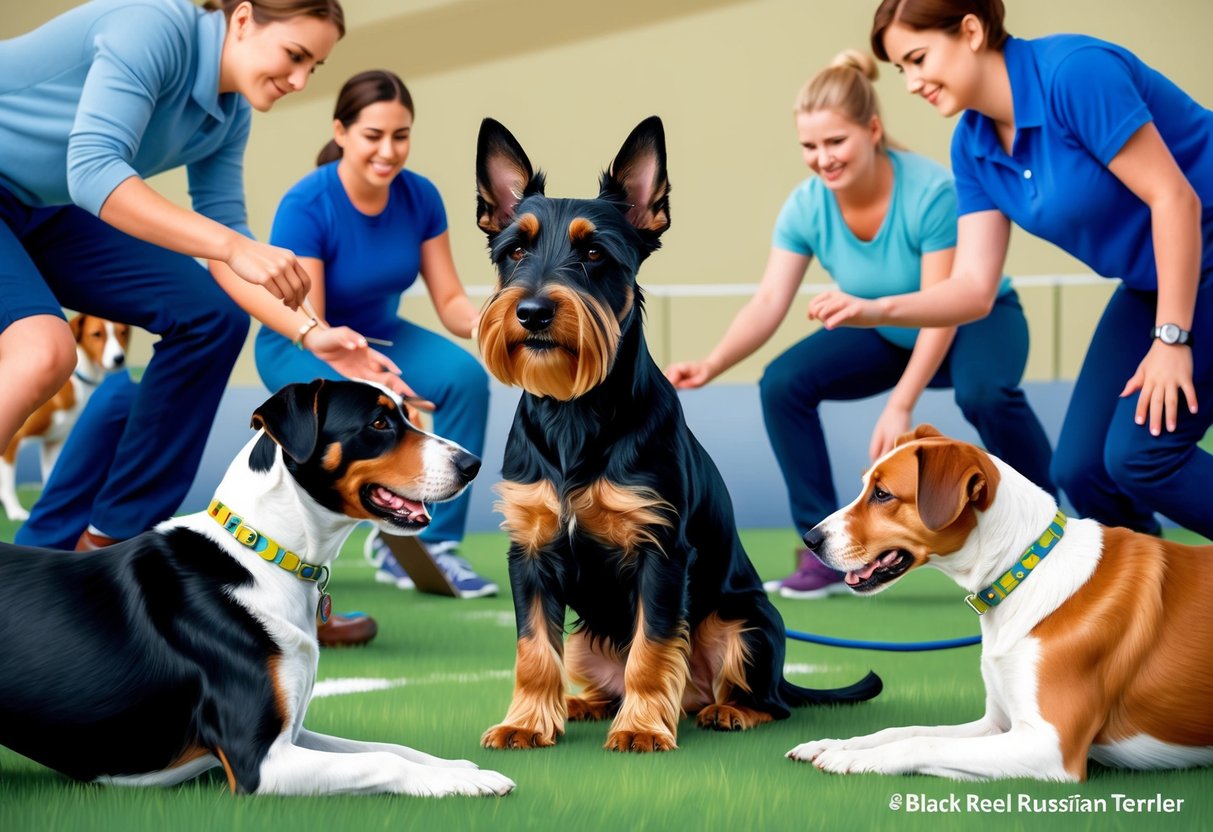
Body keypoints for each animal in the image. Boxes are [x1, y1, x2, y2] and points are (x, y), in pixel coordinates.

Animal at [0, 315, 129, 521]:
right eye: (96, 334)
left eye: (122, 332)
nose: (119, 359)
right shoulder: (14, 440)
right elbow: (8, 481)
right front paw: (15, 511)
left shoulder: (54, 442)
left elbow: (50, 481)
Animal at [0, 380, 514, 800]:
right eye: (379, 422)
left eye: (406, 414)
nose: (473, 464)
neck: (266, 556)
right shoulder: (257, 760)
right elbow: (384, 760)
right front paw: (464, 781)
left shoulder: (292, 732)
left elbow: (386, 745)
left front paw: (454, 766)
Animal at [468, 115, 878, 756]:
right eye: (514, 250)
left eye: (593, 253)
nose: (532, 312)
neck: (576, 413)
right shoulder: (530, 553)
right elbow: (534, 649)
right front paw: (527, 723)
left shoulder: (660, 553)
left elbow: (653, 648)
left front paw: (639, 729)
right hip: (587, 638)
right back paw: (587, 705)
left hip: (747, 624)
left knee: (762, 700)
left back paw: (724, 711)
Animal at [786, 426, 1213, 785]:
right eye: (866, 488)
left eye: (882, 494)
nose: (810, 539)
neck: (1024, 570)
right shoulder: (997, 723)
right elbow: (905, 730)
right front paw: (834, 744)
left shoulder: (1051, 745)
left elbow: (921, 742)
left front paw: (852, 758)